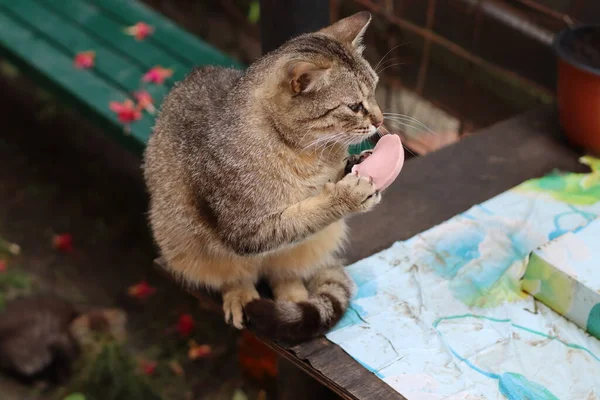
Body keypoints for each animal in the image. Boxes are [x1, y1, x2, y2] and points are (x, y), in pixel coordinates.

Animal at [144, 13, 384, 344]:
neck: (305, 151)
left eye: (375, 89)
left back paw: (294, 296)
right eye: (355, 106)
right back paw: (241, 295)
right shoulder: (248, 229)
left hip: (320, 241)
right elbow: (306, 215)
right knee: (235, 276)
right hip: (185, 243)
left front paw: (355, 165)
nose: (381, 120)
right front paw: (345, 196)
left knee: (285, 273)